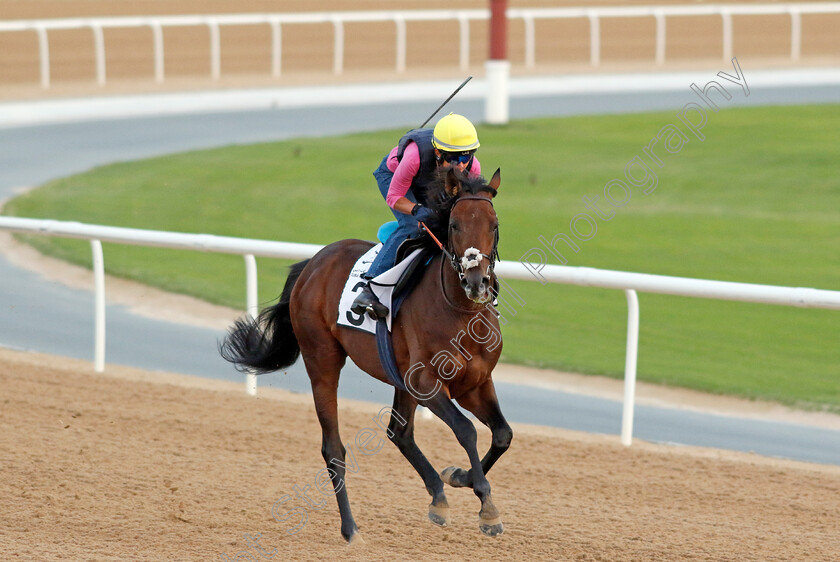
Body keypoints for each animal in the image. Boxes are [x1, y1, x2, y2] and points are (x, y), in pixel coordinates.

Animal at [220, 167, 508, 544]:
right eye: (455, 225)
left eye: (494, 224)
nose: (476, 282)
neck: (460, 311)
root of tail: (313, 263)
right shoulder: (426, 383)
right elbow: (466, 430)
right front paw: (487, 508)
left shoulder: (474, 382)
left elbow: (502, 434)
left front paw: (459, 477)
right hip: (322, 358)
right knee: (333, 448)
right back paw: (350, 528)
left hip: (399, 376)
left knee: (399, 433)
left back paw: (437, 497)